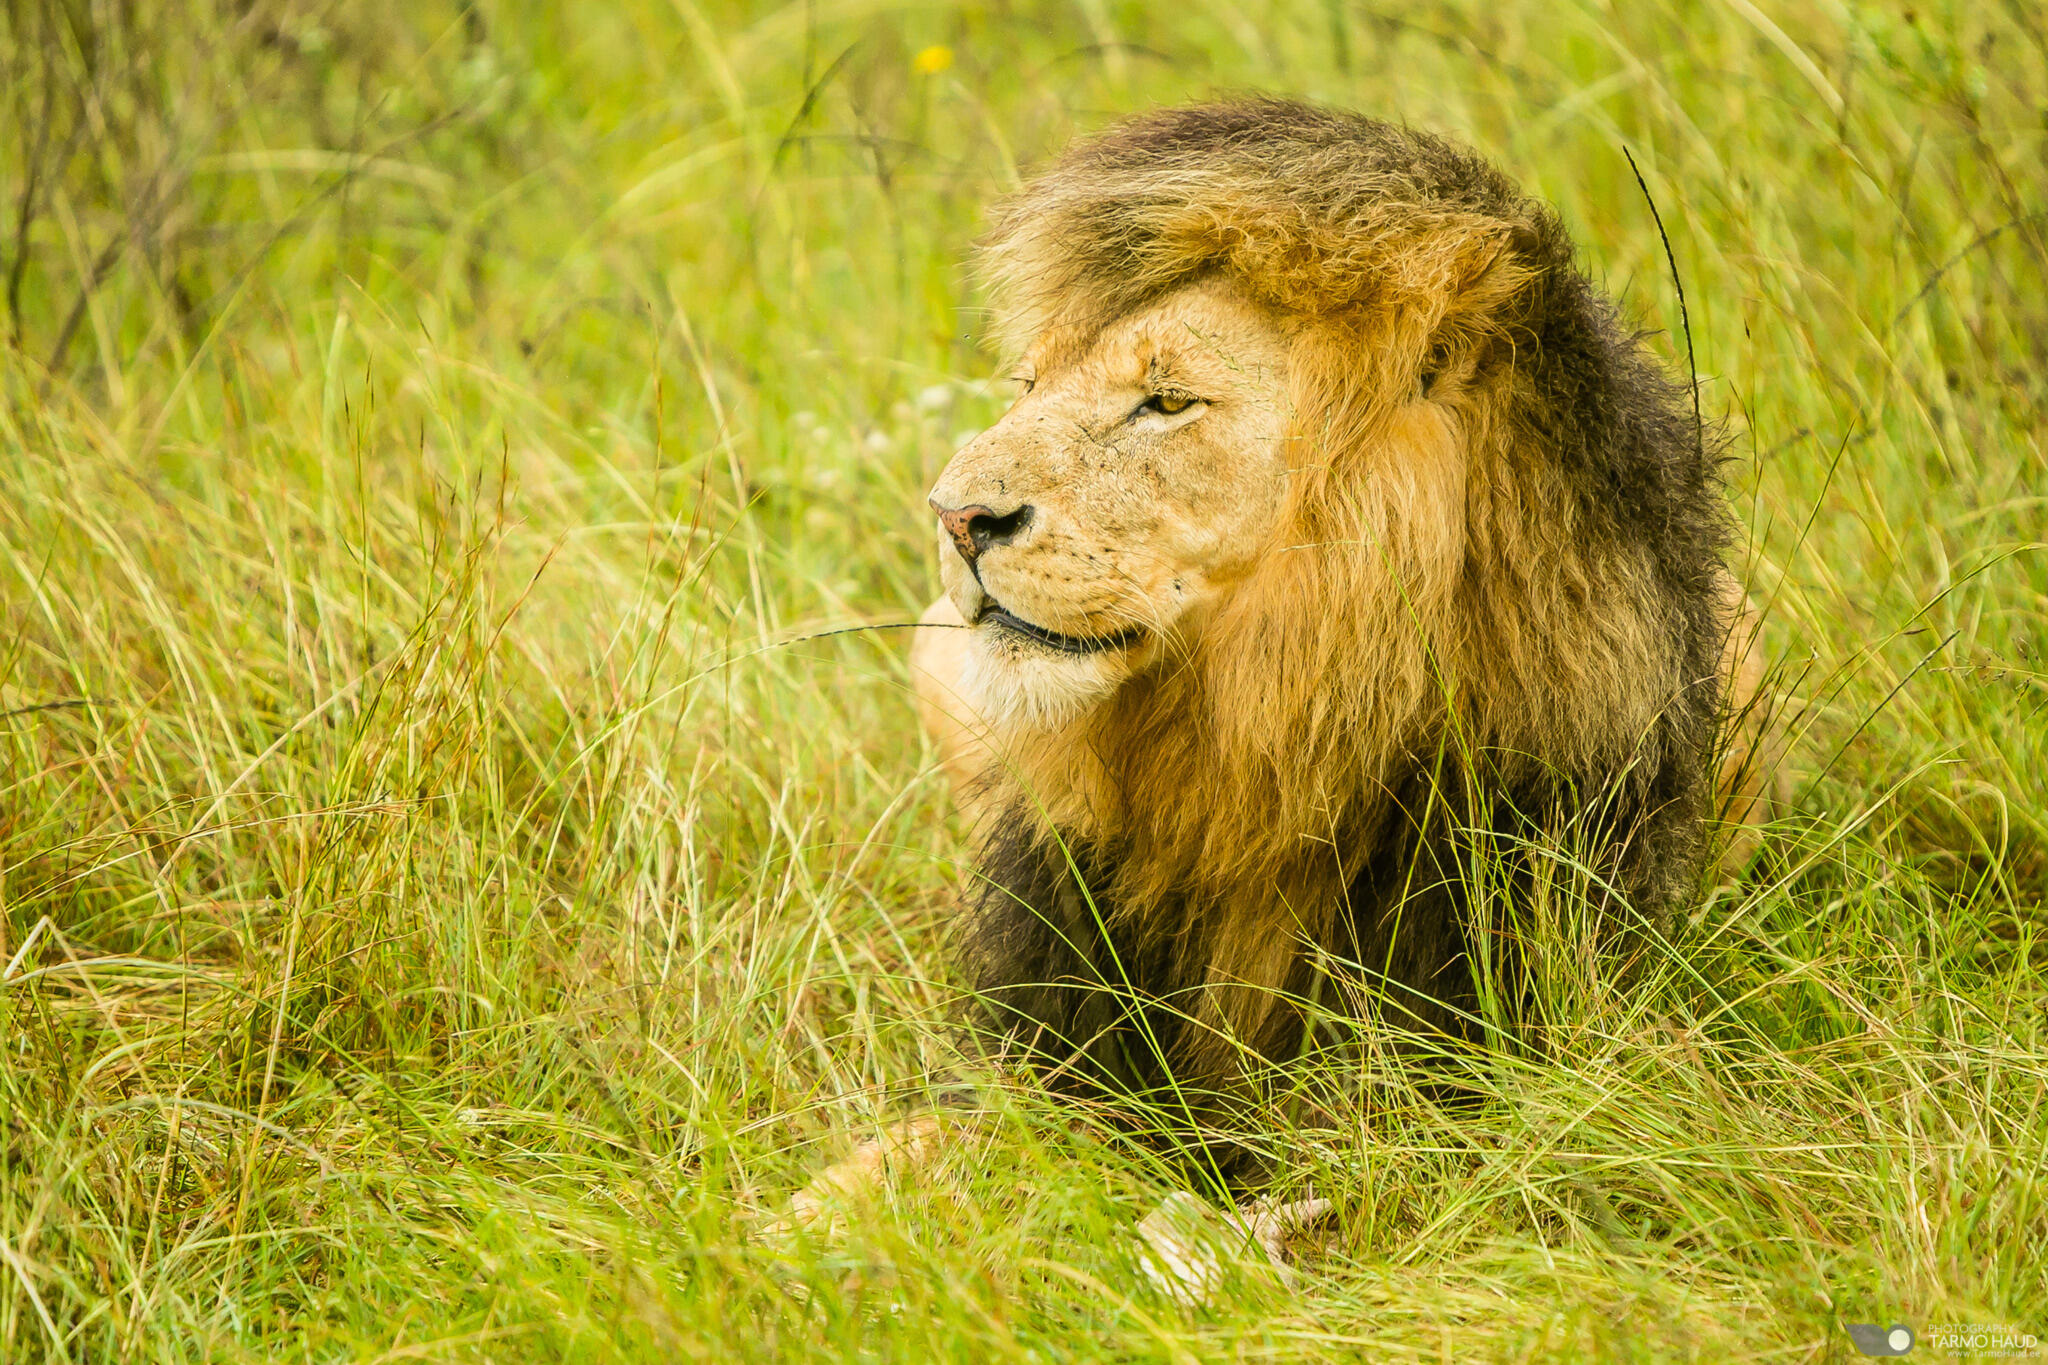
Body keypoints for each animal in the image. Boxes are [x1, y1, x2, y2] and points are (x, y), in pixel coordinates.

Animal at [792, 98, 1770, 1225]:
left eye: (1167, 402)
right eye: (1029, 386)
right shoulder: (1050, 1036)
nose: (954, 518)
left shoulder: (1440, 1087)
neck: (1249, 750)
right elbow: (901, 1150)